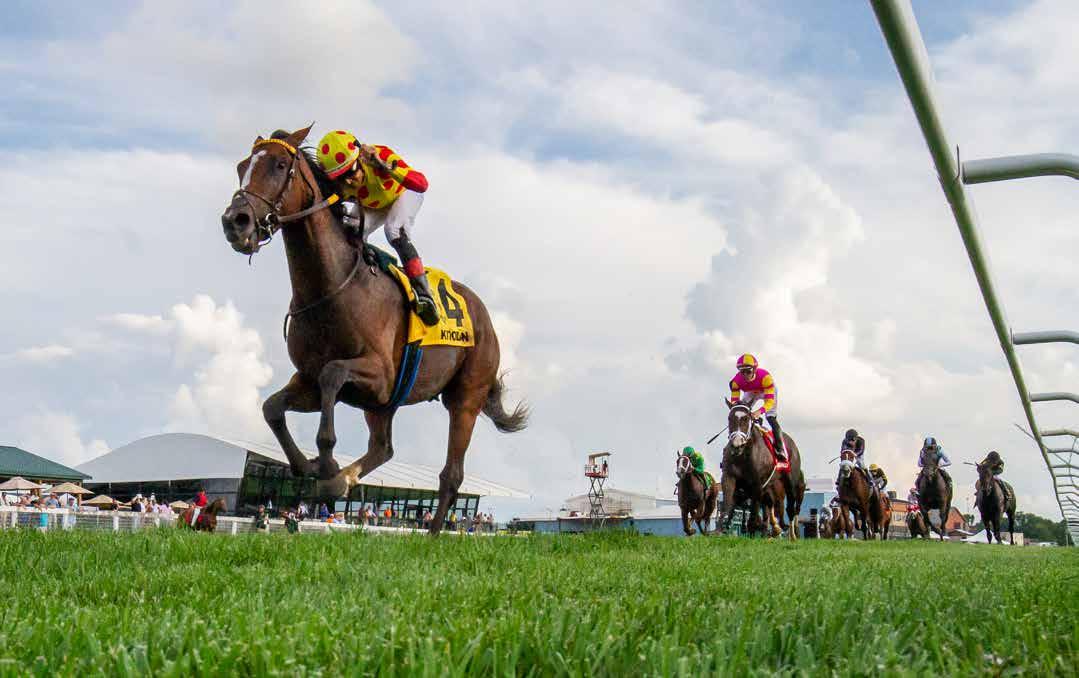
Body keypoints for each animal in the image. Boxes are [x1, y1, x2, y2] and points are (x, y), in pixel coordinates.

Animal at [219, 124, 526, 533]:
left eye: (280, 164)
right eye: (242, 167)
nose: (235, 222)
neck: (331, 287)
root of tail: (485, 317)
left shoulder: (379, 375)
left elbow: (333, 376)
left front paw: (327, 466)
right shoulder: (314, 381)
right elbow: (272, 408)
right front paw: (310, 468)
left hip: (465, 398)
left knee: (451, 474)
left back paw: (430, 535)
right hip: (383, 404)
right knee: (383, 447)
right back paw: (346, 478)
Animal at [716, 401, 802, 539]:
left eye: (746, 418)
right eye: (729, 418)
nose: (736, 444)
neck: (743, 455)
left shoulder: (757, 483)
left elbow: (754, 509)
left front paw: (752, 529)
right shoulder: (729, 477)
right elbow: (728, 502)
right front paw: (720, 529)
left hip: (790, 482)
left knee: (790, 507)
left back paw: (792, 535)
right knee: (770, 505)